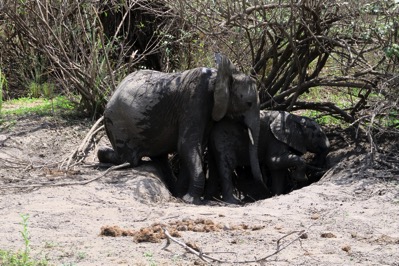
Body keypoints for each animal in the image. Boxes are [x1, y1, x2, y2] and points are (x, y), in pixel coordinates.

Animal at [97, 53, 266, 204]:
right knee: (128, 159)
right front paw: (191, 200)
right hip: (117, 124)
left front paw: (181, 195)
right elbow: (187, 145)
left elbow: (196, 146)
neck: (219, 75)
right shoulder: (194, 99)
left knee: (159, 158)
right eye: (249, 103)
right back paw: (104, 154)